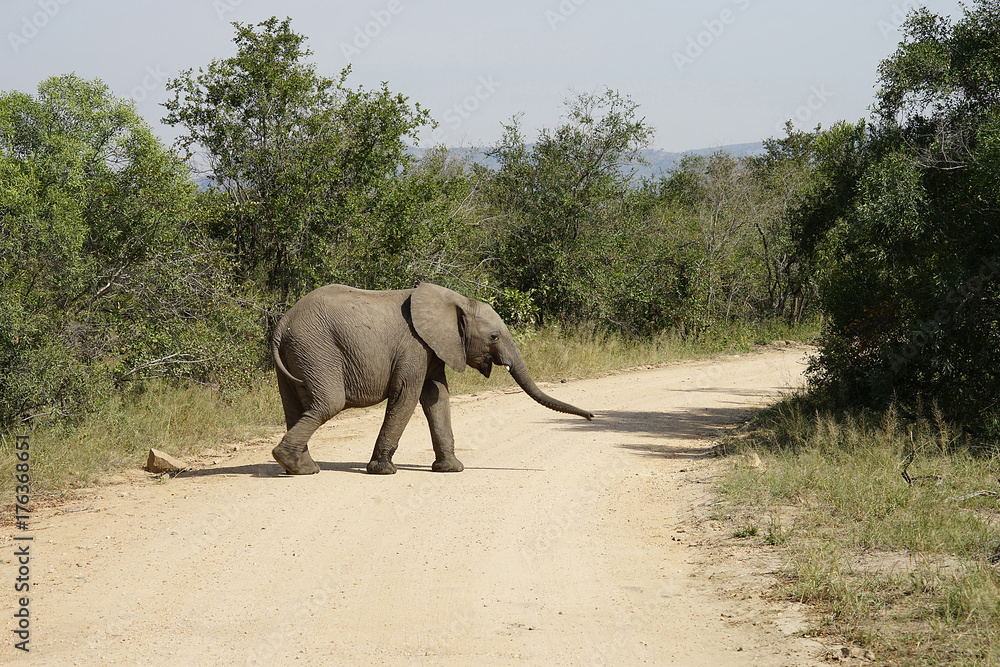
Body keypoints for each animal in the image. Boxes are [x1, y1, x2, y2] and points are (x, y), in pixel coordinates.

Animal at [269, 282, 594, 475]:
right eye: (493, 337)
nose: (592, 416)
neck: (456, 300)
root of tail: (282, 326)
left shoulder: (434, 348)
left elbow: (437, 397)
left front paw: (451, 469)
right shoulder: (414, 346)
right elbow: (407, 394)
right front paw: (384, 471)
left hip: (300, 353)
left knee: (295, 407)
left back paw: (300, 467)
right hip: (316, 350)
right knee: (329, 403)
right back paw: (292, 462)